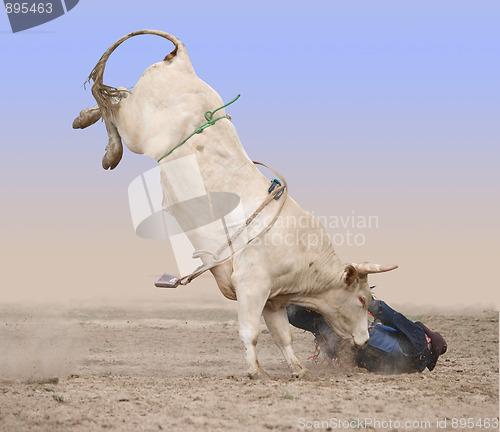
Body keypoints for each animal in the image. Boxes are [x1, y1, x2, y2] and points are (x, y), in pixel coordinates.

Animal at [73, 30, 398, 380]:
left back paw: (89, 122)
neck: (303, 255)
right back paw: (107, 147)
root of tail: (183, 63)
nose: (365, 340)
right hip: (138, 128)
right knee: (110, 102)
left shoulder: (273, 300)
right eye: (362, 299)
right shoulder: (251, 285)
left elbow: (282, 336)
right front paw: (256, 371)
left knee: (117, 95)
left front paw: (297, 369)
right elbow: (250, 331)